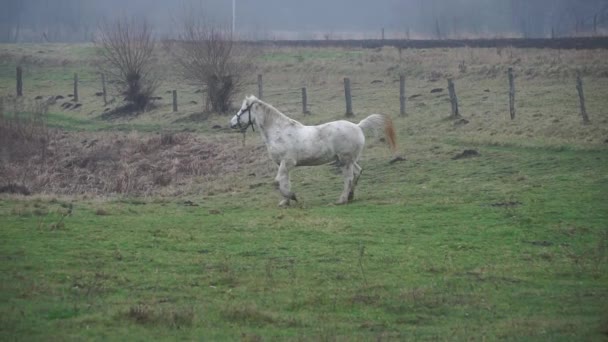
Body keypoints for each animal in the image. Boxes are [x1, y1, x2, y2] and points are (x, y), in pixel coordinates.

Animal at [230, 95, 396, 206]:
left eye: (243, 109)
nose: (231, 123)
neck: (279, 131)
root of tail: (358, 126)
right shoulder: (283, 165)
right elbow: (285, 181)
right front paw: (285, 202)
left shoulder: (287, 162)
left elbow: (278, 181)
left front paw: (292, 197)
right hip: (348, 160)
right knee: (357, 172)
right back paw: (350, 196)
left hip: (345, 161)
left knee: (348, 177)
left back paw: (342, 200)